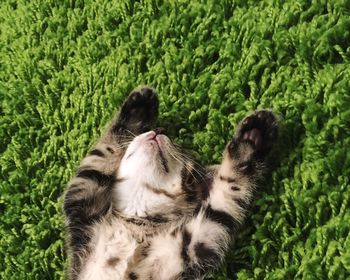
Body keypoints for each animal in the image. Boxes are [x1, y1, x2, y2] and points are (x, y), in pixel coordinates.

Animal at [63, 86, 278, 278]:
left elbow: (227, 194)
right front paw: (137, 110)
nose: (160, 129)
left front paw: (251, 139)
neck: (135, 223)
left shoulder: (199, 242)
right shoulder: (82, 208)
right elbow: (102, 153)